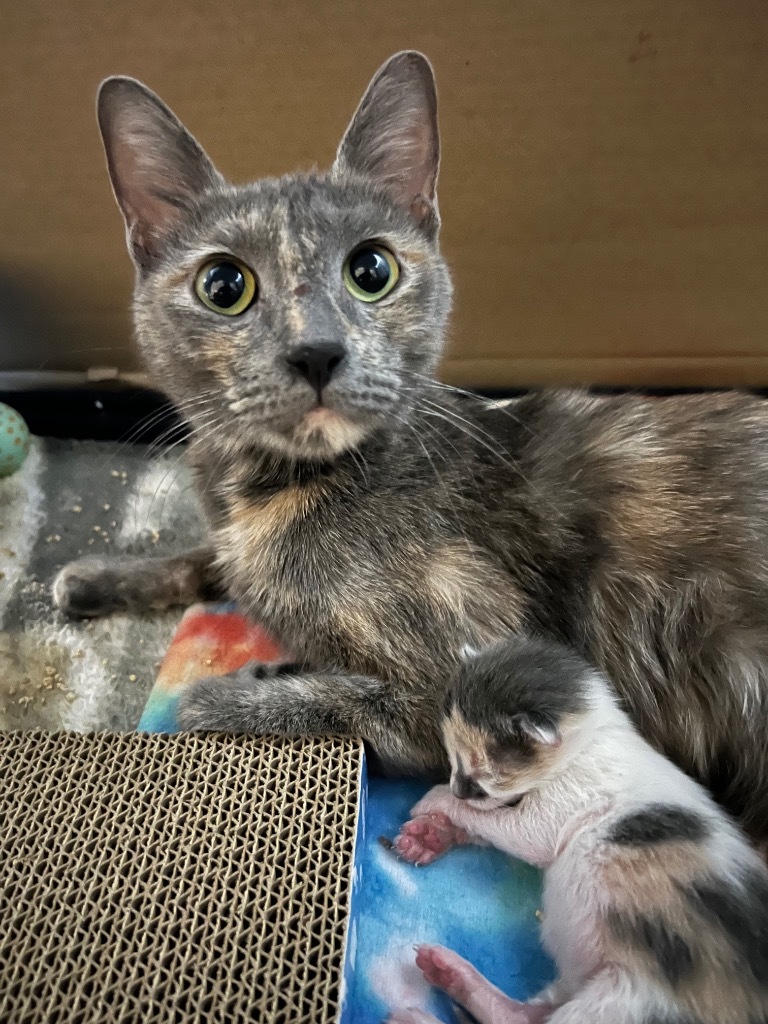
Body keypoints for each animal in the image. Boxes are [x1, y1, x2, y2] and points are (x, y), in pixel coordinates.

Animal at [57, 51, 768, 839]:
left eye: (371, 270)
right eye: (223, 284)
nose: (316, 351)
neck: (268, 492)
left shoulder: (470, 684)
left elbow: (327, 700)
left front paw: (231, 691)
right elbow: (208, 560)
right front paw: (100, 576)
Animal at [391, 634, 768, 1024]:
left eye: (477, 784)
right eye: (452, 759)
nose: (455, 789)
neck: (588, 739)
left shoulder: (553, 811)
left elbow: (504, 825)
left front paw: (434, 802)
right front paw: (430, 837)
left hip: (625, 1001)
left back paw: (417, 1016)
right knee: (522, 1016)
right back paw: (450, 973)